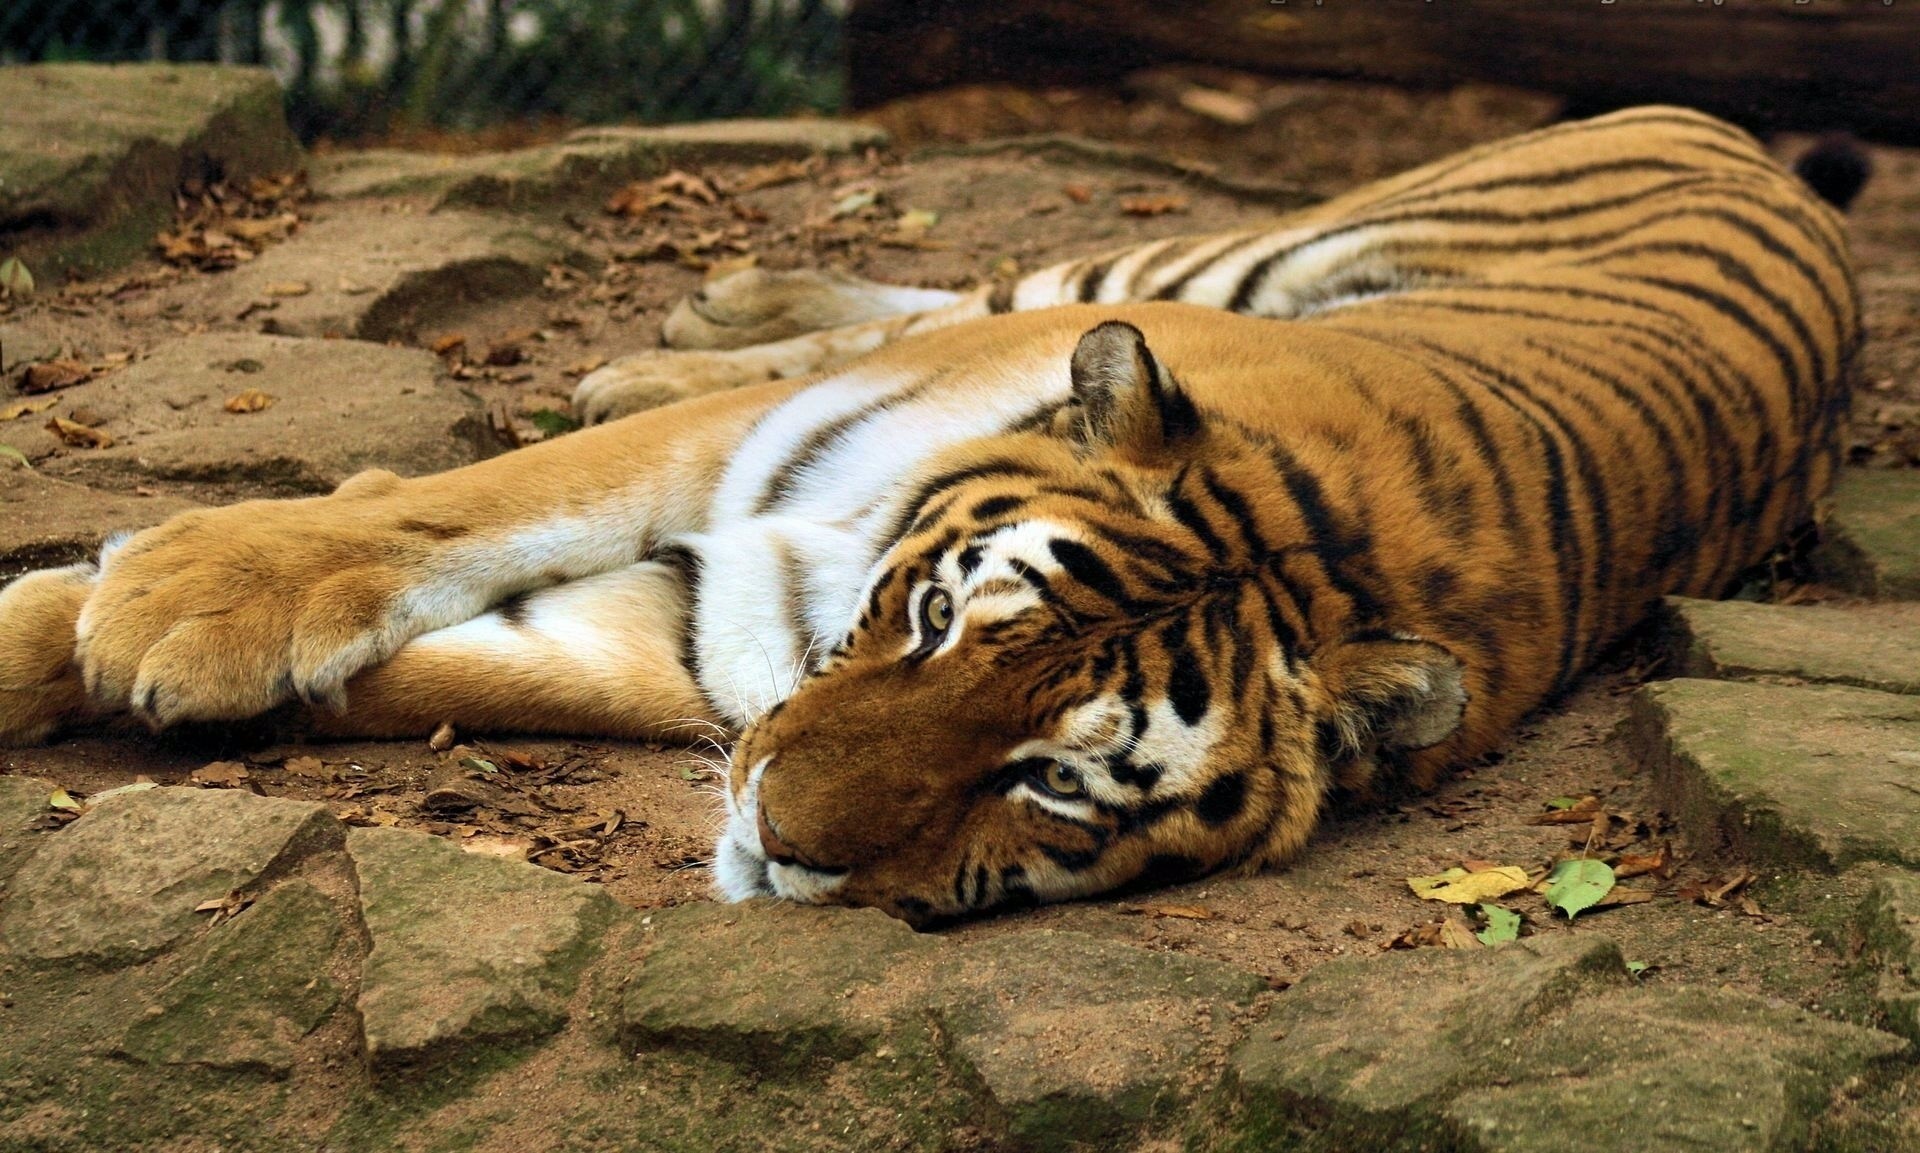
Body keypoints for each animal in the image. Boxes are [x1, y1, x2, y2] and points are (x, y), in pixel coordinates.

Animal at [0, 106, 1861, 924]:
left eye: (1052, 780)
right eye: (939, 616)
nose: (778, 840)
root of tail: (1740, 136)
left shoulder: (705, 632)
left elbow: (480, 656)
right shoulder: (744, 475)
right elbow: (473, 502)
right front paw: (174, 594)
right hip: (1165, 260)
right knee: (957, 283)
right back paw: (676, 326)